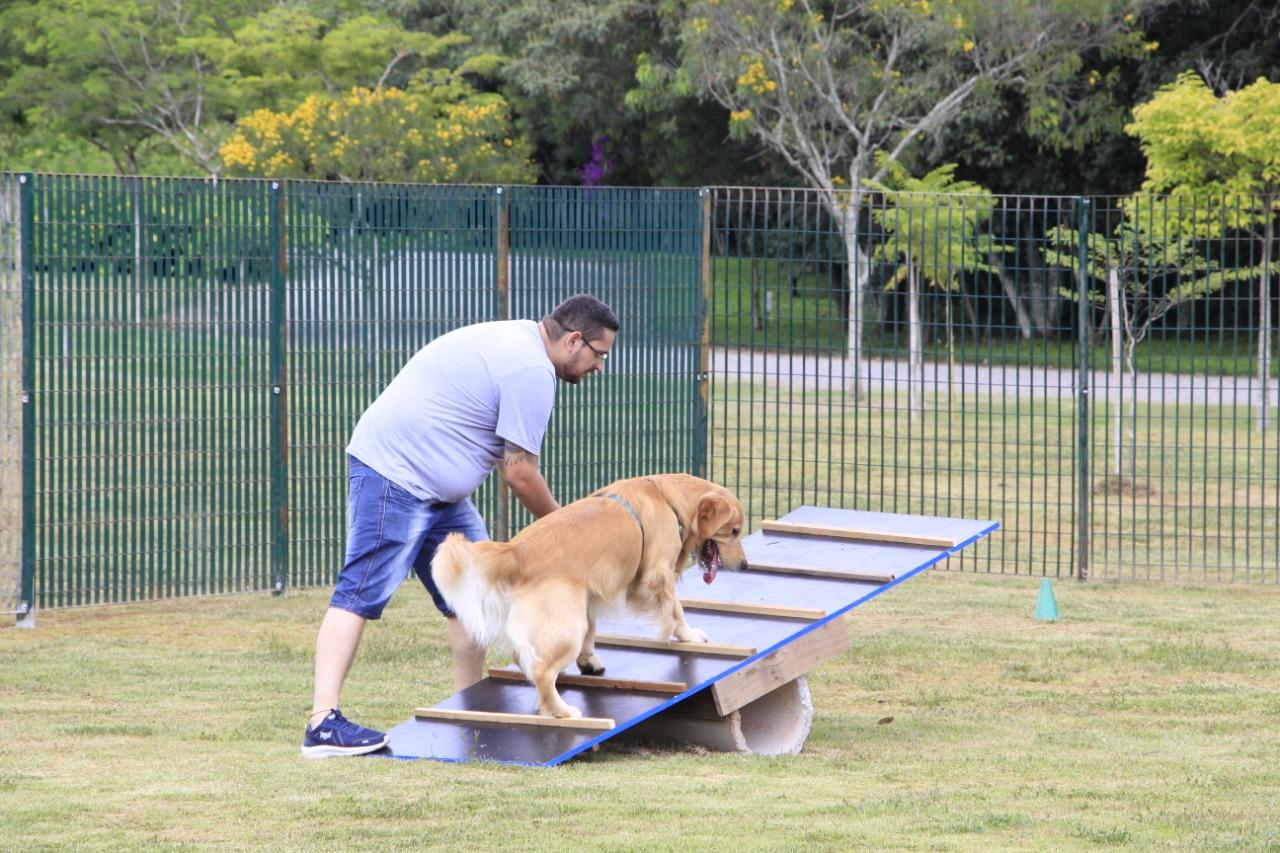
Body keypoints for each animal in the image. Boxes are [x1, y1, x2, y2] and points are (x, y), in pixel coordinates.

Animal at [432, 471, 747, 717]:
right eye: (733, 531)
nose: (745, 565)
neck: (668, 498)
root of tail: (514, 550)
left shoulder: (591, 589)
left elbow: (593, 629)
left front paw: (589, 661)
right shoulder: (657, 575)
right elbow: (675, 609)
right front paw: (688, 635)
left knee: (525, 657)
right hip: (567, 623)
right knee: (541, 670)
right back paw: (560, 711)